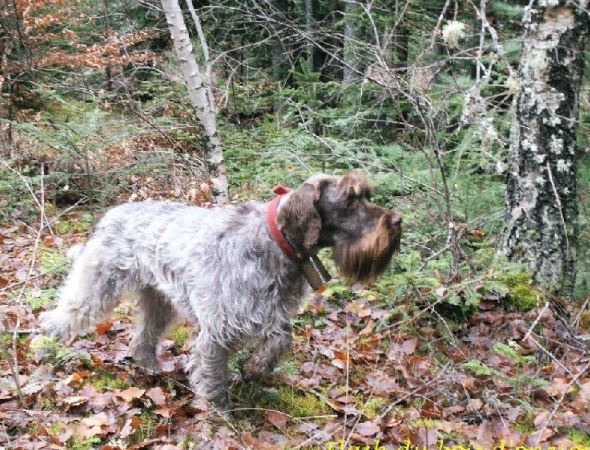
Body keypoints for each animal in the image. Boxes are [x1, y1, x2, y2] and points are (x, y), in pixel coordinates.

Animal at [41, 171, 402, 408]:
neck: (275, 244)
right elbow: (215, 379)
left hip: (159, 303)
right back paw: (44, 351)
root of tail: (112, 213)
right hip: (96, 290)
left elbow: (282, 338)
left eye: (366, 196)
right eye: (350, 200)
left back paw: (152, 371)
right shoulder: (218, 330)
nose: (397, 221)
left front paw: (256, 369)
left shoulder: (270, 313)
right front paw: (220, 418)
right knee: (56, 318)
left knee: (141, 340)